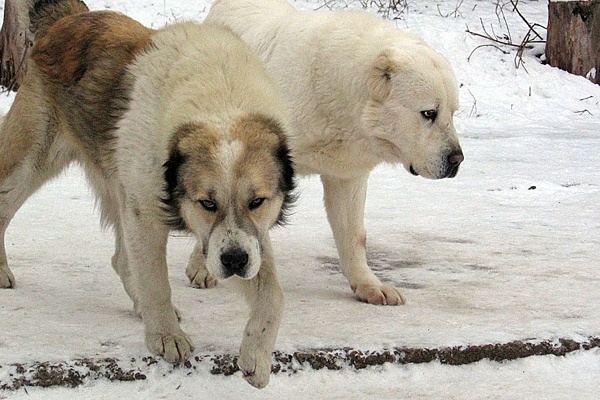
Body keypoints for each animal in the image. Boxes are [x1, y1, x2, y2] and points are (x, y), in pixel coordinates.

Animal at [0, 0, 296, 388]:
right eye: (207, 203)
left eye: (257, 202)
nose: (234, 262)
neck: (219, 101)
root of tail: (72, 17)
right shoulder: (145, 213)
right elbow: (156, 282)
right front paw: (166, 335)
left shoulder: (250, 238)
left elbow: (273, 295)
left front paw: (256, 356)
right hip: (30, 162)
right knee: (4, 208)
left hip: (117, 181)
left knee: (122, 259)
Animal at [197, 0, 464, 306]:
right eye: (428, 113)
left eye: (453, 113)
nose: (457, 159)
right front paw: (204, 267)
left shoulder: (348, 173)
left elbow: (354, 235)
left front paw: (368, 285)